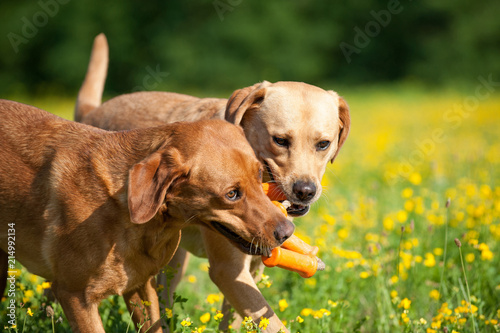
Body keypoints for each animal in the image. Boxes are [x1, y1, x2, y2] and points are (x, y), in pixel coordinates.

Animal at [76, 34, 350, 332]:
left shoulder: (253, 265)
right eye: (280, 140)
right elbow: (273, 323)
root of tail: (91, 113)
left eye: (323, 144)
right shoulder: (229, 269)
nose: (305, 191)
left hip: (172, 260)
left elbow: (237, 319)